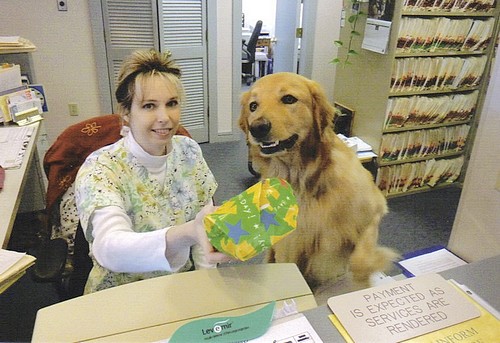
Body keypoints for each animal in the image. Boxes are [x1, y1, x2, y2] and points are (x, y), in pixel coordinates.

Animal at [239, 73, 398, 296]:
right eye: (253, 106)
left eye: (289, 99)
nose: (257, 127)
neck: (303, 179)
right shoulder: (289, 246)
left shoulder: (375, 209)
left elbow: (360, 260)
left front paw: (369, 275)